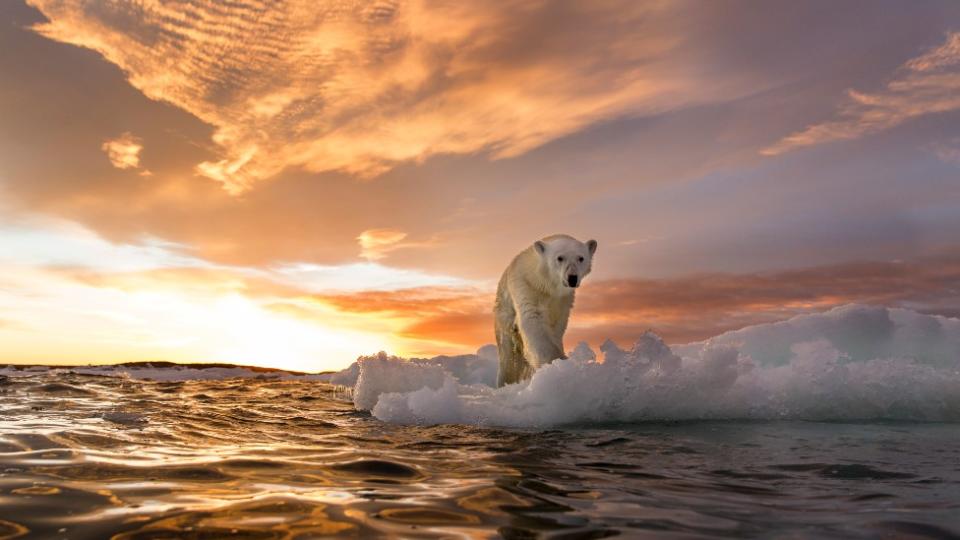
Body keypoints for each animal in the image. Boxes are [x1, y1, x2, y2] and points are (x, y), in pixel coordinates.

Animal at [498, 234, 596, 386]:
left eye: (581, 258)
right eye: (560, 258)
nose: (572, 278)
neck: (546, 285)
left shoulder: (562, 300)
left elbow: (556, 326)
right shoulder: (527, 287)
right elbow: (533, 320)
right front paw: (556, 363)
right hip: (504, 314)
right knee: (508, 355)